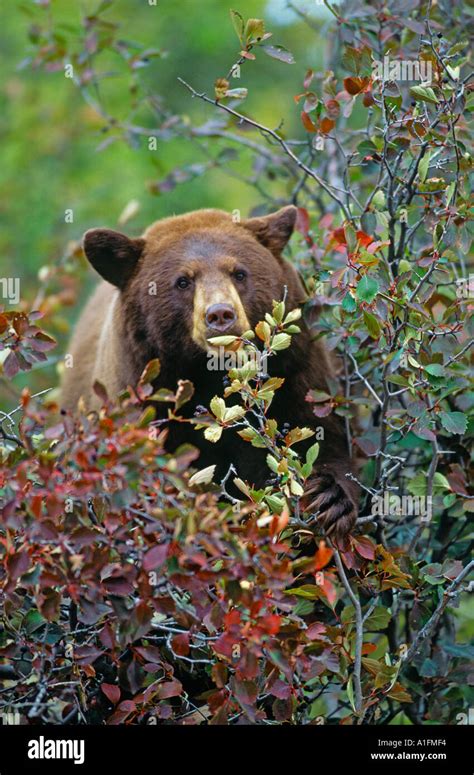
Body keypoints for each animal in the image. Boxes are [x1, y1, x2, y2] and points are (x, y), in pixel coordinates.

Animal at [61, 209, 360, 544]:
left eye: (239, 273)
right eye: (183, 281)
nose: (220, 314)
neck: (209, 377)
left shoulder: (297, 371)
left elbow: (320, 437)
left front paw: (329, 499)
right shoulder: (140, 395)